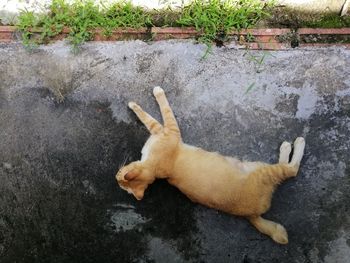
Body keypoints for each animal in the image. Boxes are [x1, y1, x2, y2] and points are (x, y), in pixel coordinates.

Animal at [116, 87, 304, 245]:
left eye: (120, 175)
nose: (115, 177)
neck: (155, 168)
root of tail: (252, 214)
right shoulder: (166, 129)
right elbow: (153, 115)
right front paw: (146, 99)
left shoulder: (167, 131)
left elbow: (155, 113)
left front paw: (146, 98)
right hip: (265, 170)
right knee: (290, 170)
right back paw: (292, 145)